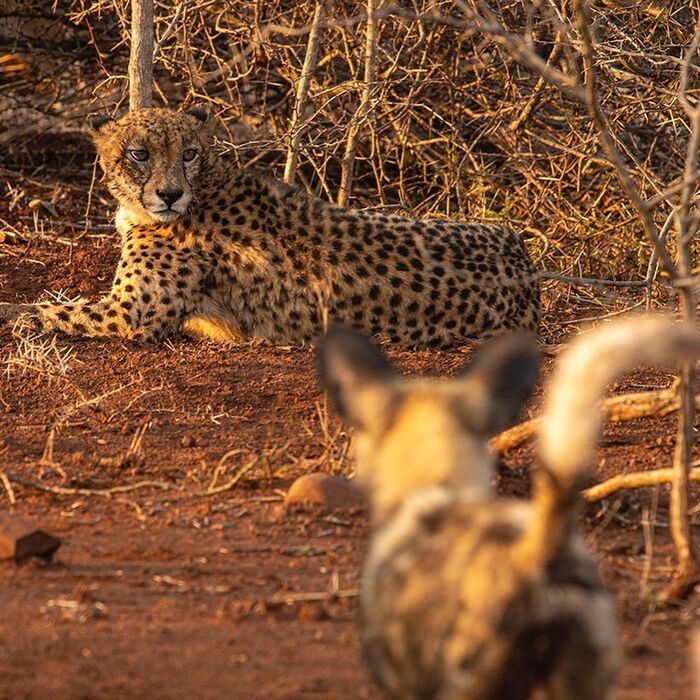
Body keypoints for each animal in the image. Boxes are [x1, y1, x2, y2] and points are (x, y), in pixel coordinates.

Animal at [0, 108, 540, 346]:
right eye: (139, 154)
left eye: (188, 153)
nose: (170, 194)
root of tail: (523, 257)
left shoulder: (131, 314)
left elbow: (46, 311)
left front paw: (16, 314)